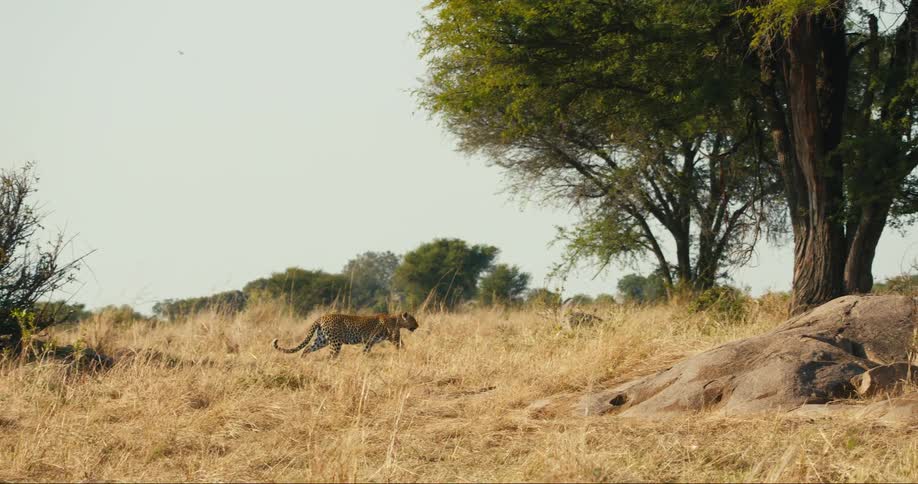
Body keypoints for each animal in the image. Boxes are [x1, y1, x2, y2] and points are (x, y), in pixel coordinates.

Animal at [272, 311, 419, 357]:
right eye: (413, 320)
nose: (418, 326)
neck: (396, 320)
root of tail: (321, 317)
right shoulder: (392, 338)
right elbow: (401, 346)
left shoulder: (370, 341)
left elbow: (366, 351)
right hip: (335, 342)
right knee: (331, 356)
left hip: (322, 340)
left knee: (307, 348)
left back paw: (303, 361)